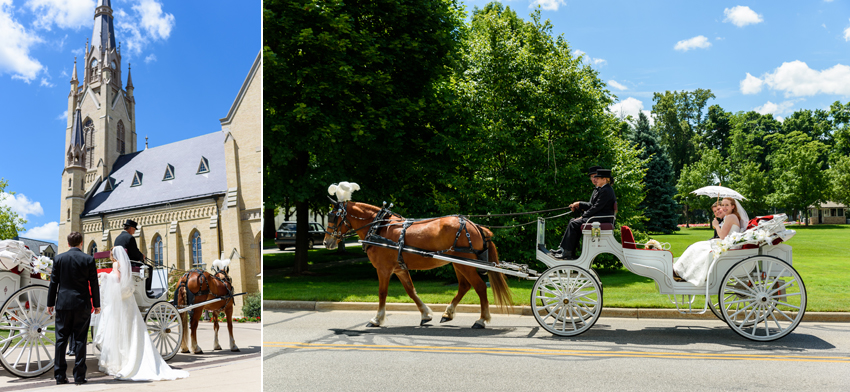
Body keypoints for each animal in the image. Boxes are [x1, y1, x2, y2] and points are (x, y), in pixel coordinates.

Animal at [322, 202, 510, 328]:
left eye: (332, 216)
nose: (326, 242)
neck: (379, 227)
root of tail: (476, 226)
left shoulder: (383, 269)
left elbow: (382, 293)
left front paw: (377, 319)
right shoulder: (400, 269)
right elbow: (411, 291)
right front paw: (426, 315)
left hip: (466, 264)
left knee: (480, 286)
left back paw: (481, 320)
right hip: (459, 264)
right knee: (464, 286)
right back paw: (448, 313)